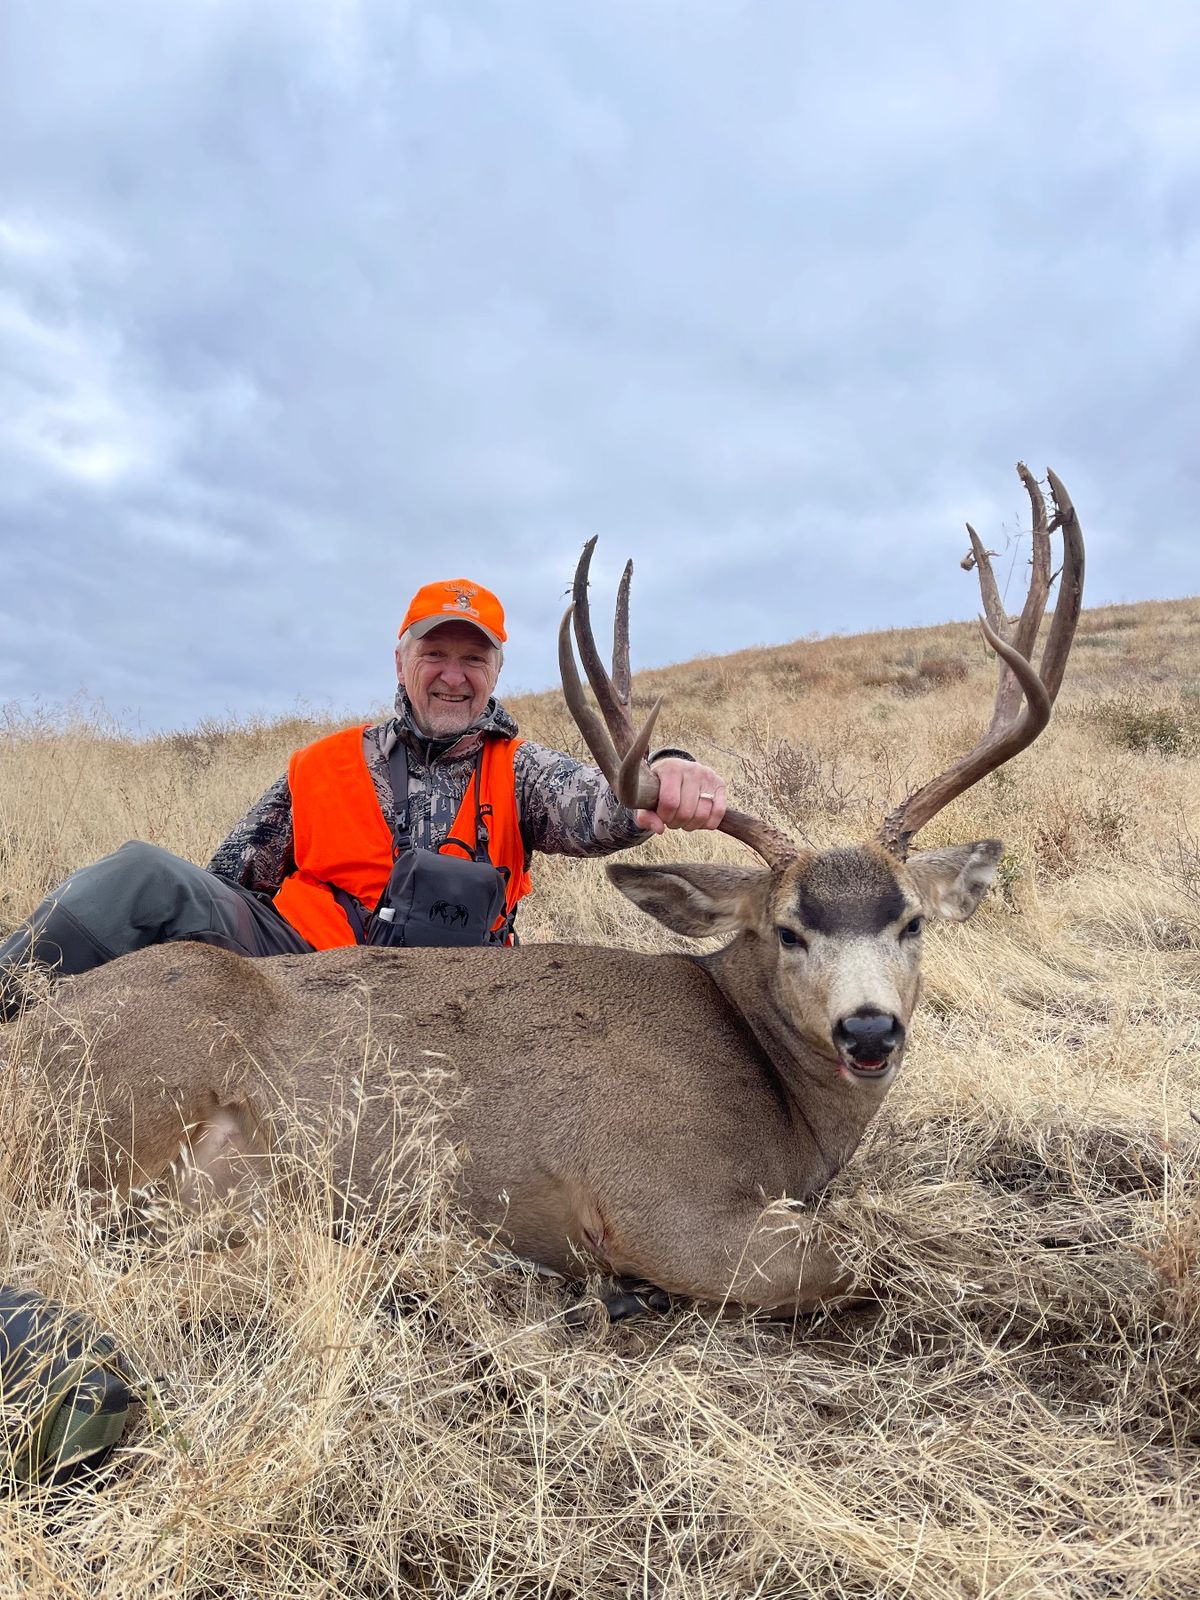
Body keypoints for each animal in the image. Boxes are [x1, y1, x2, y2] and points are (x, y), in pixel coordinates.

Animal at [15, 466, 1083, 1319]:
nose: (869, 1030)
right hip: (131, 1092)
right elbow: (875, 1259)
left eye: (911, 921)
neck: (775, 1098)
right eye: (788, 930)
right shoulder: (658, 1196)